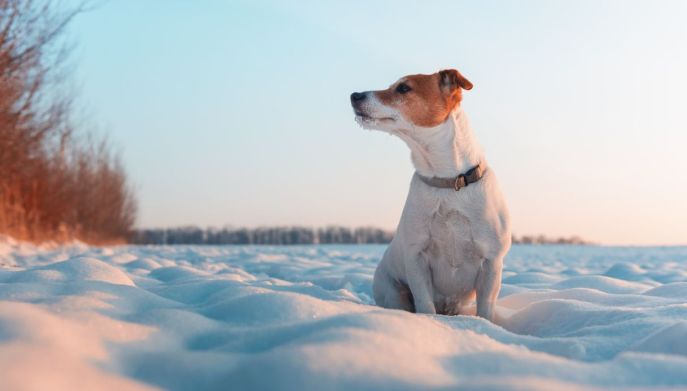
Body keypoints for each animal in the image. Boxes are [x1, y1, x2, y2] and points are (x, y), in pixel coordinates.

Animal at [354, 69, 510, 322]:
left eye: (403, 88)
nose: (354, 95)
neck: (447, 182)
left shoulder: (491, 262)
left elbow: (486, 308)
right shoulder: (417, 258)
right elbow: (425, 304)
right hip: (393, 291)